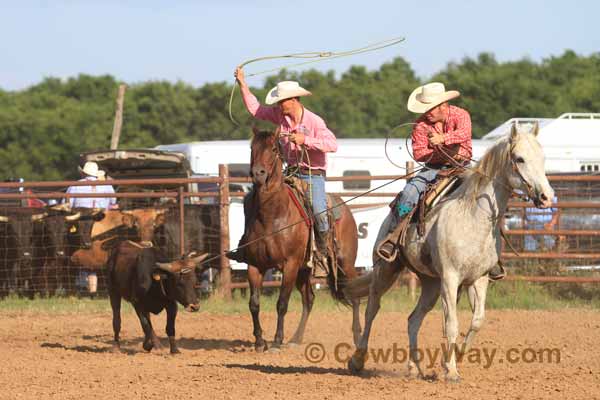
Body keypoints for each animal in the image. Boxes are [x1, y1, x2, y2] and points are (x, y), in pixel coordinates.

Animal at [229, 128, 360, 350]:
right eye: (252, 148)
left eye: (274, 149)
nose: (258, 174)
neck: (272, 216)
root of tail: (345, 209)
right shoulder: (255, 265)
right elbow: (254, 303)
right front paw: (259, 341)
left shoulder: (289, 265)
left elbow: (282, 303)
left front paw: (276, 341)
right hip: (304, 270)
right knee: (309, 299)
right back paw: (295, 339)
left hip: (345, 264)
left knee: (355, 295)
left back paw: (358, 335)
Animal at [344, 122, 556, 382]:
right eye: (520, 158)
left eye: (543, 158)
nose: (546, 197)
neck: (473, 217)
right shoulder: (450, 278)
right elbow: (451, 324)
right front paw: (452, 371)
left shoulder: (478, 279)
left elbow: (477, 320)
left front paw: (459, 356)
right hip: (387, 269)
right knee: (372, 310)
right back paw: (357, 360)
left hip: (430, 283)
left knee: (413, 319)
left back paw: (414, 368)